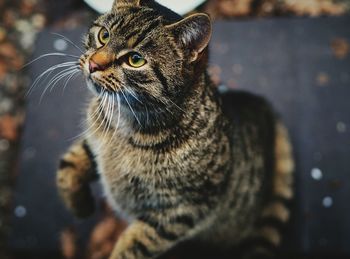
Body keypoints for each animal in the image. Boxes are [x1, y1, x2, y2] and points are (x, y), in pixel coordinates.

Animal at [56, 1, 294, 258]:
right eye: (104, 35)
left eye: (135, 59)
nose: (93, 64)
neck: (124, 120)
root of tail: (266, 110)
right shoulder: (93, 143)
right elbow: (68, 167)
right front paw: (80, 206)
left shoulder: (181, 211)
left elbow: (134, 247)